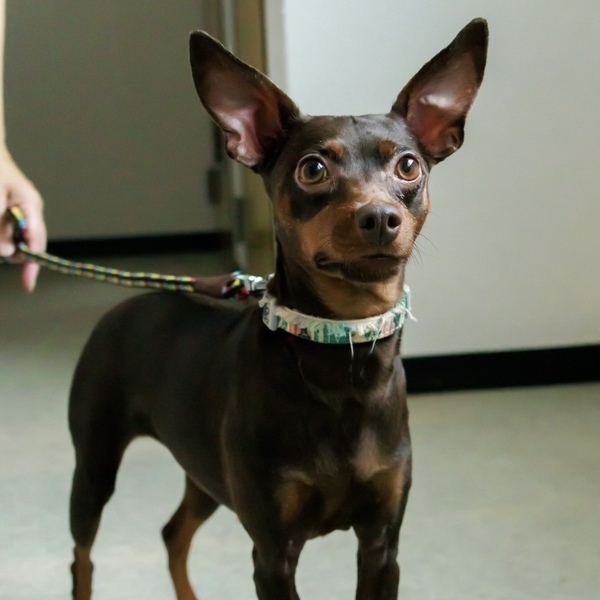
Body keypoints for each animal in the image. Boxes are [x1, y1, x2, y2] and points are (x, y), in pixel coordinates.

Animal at [68, 19, 487, 599]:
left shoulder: (382, 544)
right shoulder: (273, 552)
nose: (380, 217)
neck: (344, 351)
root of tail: (126, 304)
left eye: (408, 166)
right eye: (312, 169)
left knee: (173, 531)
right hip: (95, 465)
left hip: (204, 472)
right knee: (83, 557)